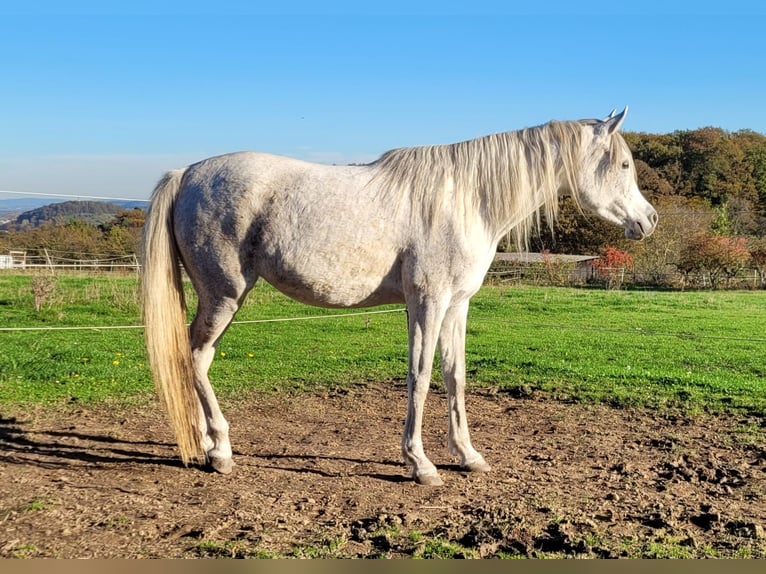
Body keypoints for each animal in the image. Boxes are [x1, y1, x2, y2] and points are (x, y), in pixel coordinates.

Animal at [140, 107, 657, 486]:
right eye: (624, 165)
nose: (649, 220)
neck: (466, 199)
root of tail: (186, 173)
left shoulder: (456, 305)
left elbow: (455, 376)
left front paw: (467, 455)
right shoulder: (427, 303)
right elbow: (420, 376)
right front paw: (420, 464)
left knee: (196, 360)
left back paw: (205, 445)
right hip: (224, 295)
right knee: (197, 357)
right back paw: (221, 451)